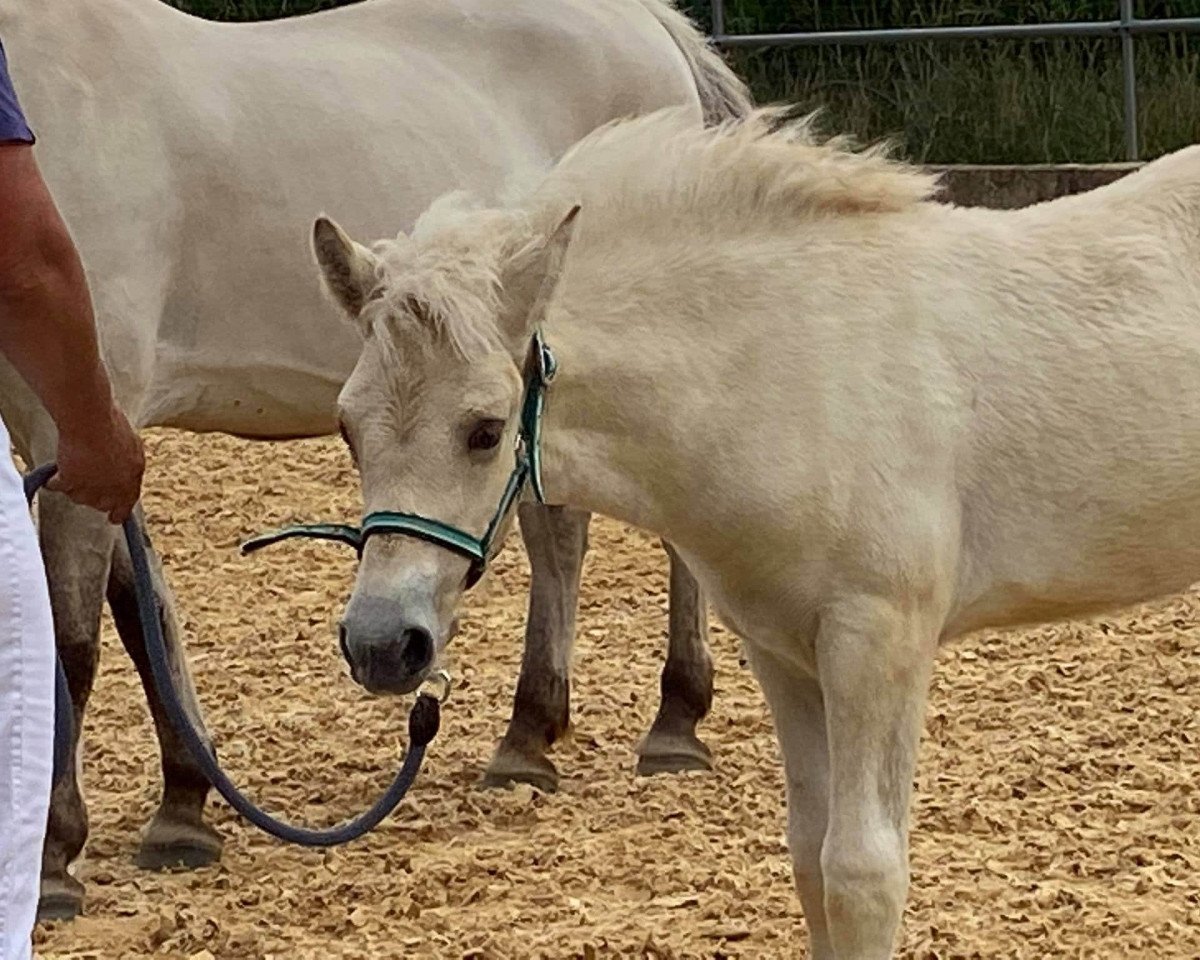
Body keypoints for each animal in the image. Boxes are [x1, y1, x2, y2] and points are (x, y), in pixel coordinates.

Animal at [0, 0, 750, 919]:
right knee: (558, 541)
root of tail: (650, 28)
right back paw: (530, 736)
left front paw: (52, 859)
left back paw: (675, 723)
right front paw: (183, 808)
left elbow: (72, 642)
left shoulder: (74, 424)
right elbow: (142, 618)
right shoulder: (85, 435)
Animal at [312, 105, 1200, 958]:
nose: (383, 644)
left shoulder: (879, 642)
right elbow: (810, 856)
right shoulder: (783, 650)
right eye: (348, 426)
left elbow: (863, 872)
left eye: (487, 430)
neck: (794, 371)